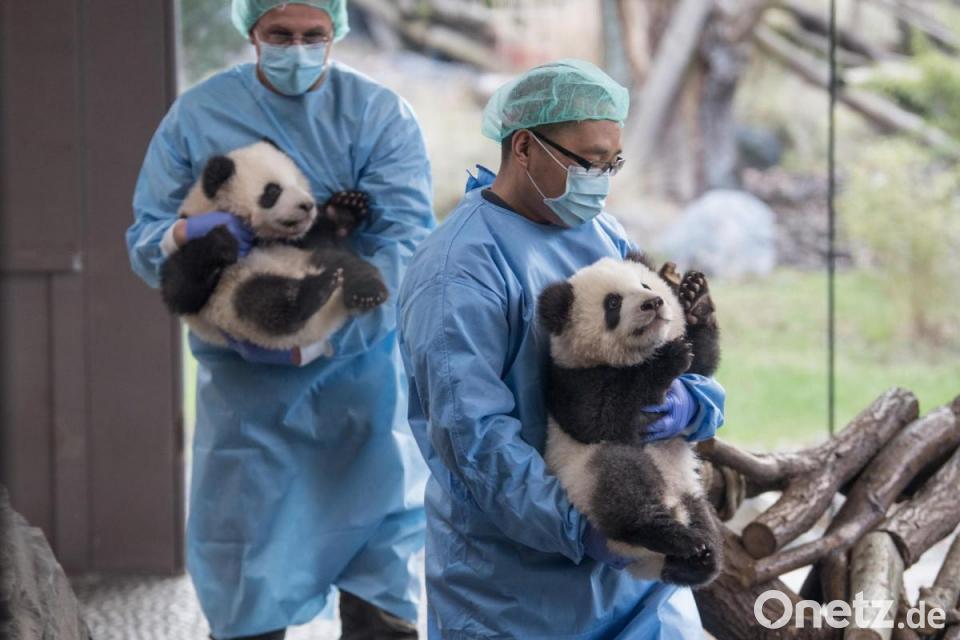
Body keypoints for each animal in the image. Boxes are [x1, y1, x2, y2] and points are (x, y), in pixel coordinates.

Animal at [160, 140, 388, 354]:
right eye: (273, 191)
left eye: (298, 182)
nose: (307, 206)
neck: (262, 238)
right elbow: (182, 291)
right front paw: (222, 241)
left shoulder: (299, 241)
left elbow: (323, 234)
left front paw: (346, 208)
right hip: (233, 302)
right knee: (263, 301)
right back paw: (314, 291)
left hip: (312, 257)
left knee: (349, 265)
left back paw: (366, 293)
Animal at [537, 252, 723, 587]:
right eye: (613, 303)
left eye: (645, 284)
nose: (653, 303)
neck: (633, 358)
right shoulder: (570, 381)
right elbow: (598, 417)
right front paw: (667, 359)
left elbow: (701, 366)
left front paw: (695, 298)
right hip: (584, 479)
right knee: (621, 483)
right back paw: (671, 535)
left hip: (690, 488)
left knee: (704, 520)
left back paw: (699, 559)